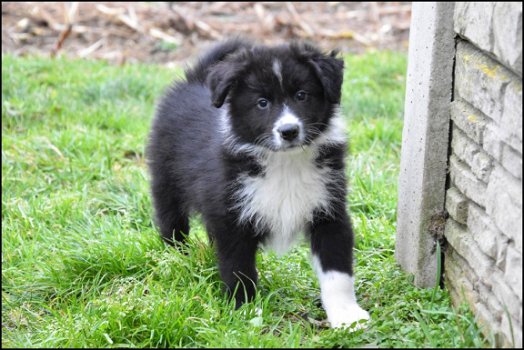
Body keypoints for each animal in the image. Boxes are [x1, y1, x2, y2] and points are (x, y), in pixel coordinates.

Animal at [145, 39, 370, 330]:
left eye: (302, 95)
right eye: (262, 103)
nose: (289, 131)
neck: (285, 163)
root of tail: (194, 79)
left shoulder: (329, 209)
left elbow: (337, 271)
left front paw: (347, 315)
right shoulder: (233, 217)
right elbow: (238, 268)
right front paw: (245, 310)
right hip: (166, 178)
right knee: (171, 220)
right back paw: (175, 256)